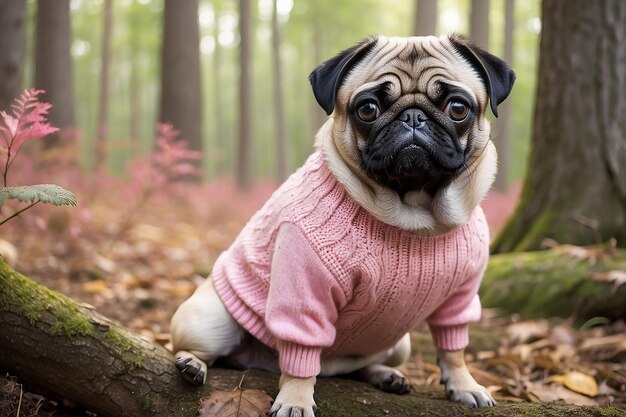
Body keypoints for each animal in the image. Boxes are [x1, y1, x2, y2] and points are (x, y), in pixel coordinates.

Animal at [169, 34, 512, 414]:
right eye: (368, 109)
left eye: (458, 108)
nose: (413, 116)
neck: (415, 214)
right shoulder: (304, 288)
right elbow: (300, 349)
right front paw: (295, 399)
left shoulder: (461, 297)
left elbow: (454, 347)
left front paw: (464, 384)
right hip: (207, 321)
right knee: (200, 349)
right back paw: (192, 364)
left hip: (399, 343)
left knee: (362, 366)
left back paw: (385, 375)